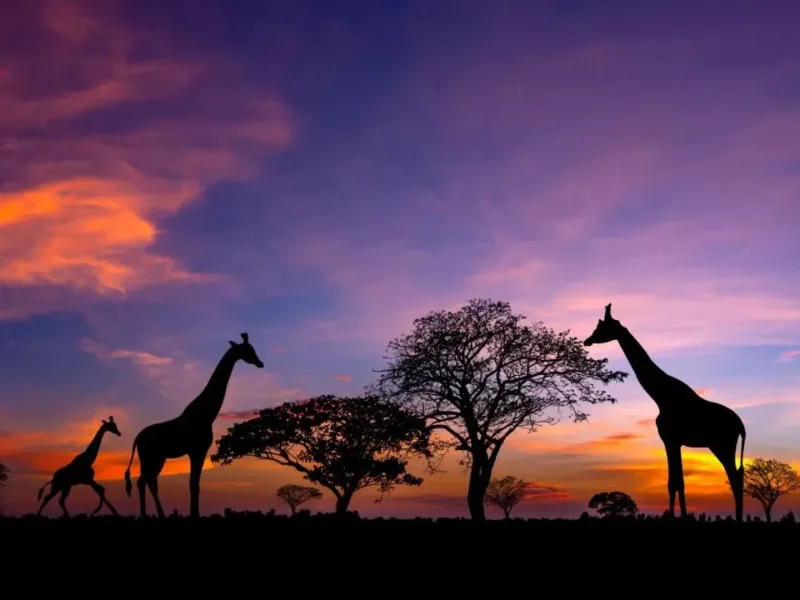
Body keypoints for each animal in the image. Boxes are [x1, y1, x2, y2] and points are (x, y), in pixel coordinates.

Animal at [123, 332, 264, 518]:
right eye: (248, 350)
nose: (260, 363)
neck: (207, 414)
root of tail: (137, 438)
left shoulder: (197, 451)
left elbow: (195, 484)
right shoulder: (197, 450)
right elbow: (193, 484)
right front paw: (194, 515)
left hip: (157, 458)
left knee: (146, 481)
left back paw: (152, 515)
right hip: (149, 457)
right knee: (145, 481)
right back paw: (152, 515)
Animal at [583, 304, 746, 521]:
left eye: (602, 327)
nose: (587, 340)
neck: (660, 396)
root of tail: (741, 427)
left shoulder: (670, 439)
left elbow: (675, 483)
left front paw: (679, 518)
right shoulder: (673, 441)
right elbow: (676, 482)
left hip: (722, 446)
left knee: (735, 478)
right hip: (718, 446)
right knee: (738, 476)